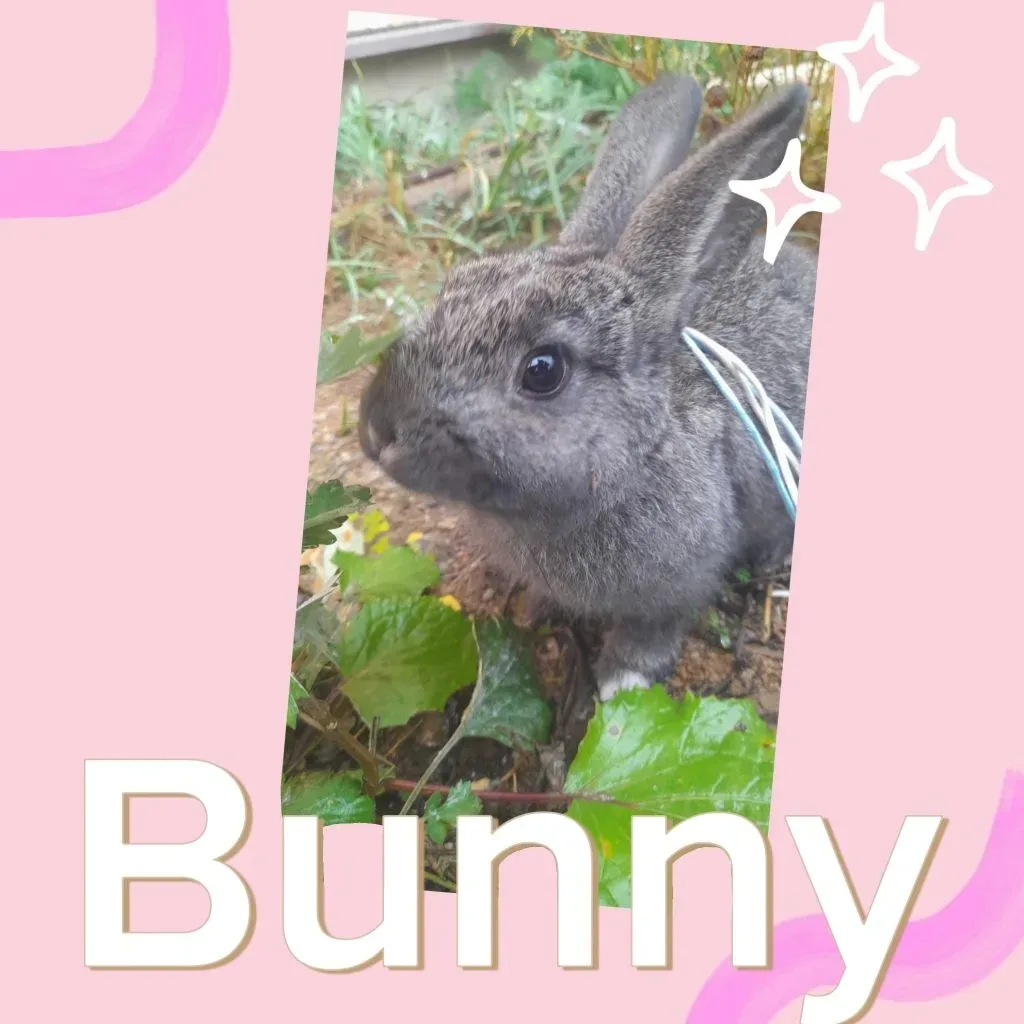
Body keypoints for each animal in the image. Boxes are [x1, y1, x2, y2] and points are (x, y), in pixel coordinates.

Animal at [358, 74, 817, 701]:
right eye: (451, 288)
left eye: (542, 370)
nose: (378, 430)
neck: (641, 451)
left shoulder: (679, 582)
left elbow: (656, 627)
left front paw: (621, 680)